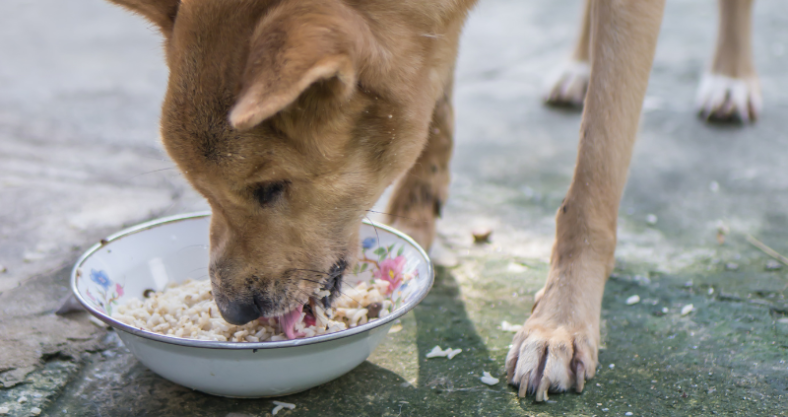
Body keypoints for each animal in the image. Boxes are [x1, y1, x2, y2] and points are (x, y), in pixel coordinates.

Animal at [109, 0, 664, 400]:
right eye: (201, 189)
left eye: (270, 187)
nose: (233, 312)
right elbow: (434, 99)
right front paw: (414, 217)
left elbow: (593, 174)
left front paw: (559, 323)